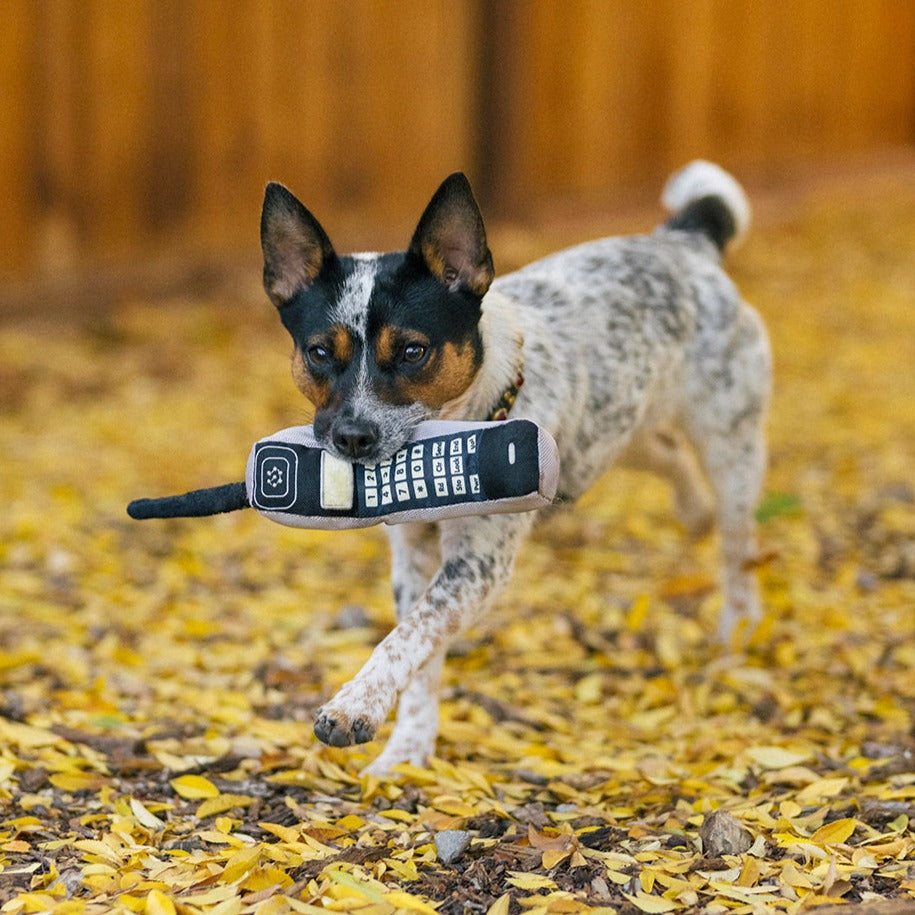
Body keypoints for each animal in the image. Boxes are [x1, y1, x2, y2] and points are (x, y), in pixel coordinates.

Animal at [260, 159, 772, 772]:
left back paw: (737, 628)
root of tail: (682, 243)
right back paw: (693, 511)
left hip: (732, 447)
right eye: (318, 352)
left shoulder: (477, 566)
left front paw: (354, 705)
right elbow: (421, 653)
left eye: (412, 351)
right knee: (668, 457)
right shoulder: (413, 556)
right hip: (619, 429)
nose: (353, 437)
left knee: (738, 547)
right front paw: (409, 749)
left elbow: (408, 636)